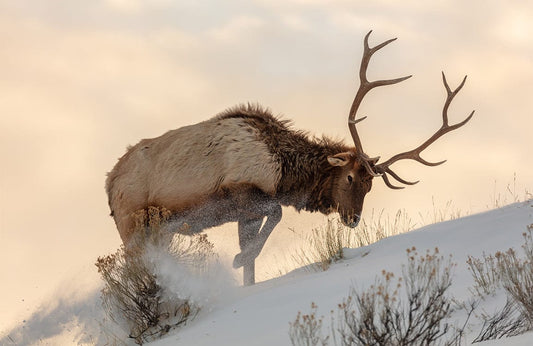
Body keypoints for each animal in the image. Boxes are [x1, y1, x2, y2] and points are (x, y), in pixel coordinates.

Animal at [106, 31, 472, 286]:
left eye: (371, 186)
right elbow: (276, 214)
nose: (353, 219)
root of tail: (109, 183)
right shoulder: (241, 191)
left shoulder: (245, 213)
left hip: (158, 231)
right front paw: (237, 259)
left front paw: (244, 269)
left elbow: (254, 259)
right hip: (132, 226)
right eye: (350, 177)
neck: (284, 172)